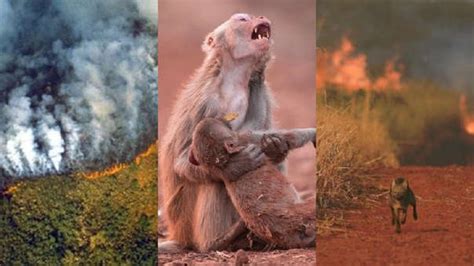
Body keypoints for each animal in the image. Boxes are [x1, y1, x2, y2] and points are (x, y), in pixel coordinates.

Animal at [159, 13, 286, 252]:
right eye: (242, 19)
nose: (261, 16)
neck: (234, 80)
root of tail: (179, 235)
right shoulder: (206, 102)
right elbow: (183, 159)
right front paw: (237, 165)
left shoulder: (260, 94)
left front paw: (276, 146)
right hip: (187, 222)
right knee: (214, 181)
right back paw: (219, 241)